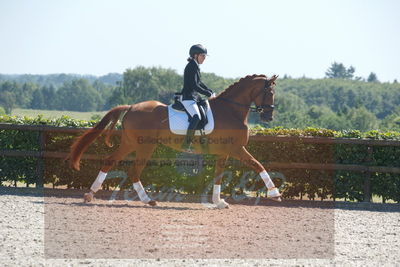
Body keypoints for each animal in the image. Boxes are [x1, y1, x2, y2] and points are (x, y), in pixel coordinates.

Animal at [69, 74, 282, 208]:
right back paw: (146, 200)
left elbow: (218, 175)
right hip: (145, 146)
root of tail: (131, 107)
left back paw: (93, 194)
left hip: (131, 143)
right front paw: (275, 194)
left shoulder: (224, 152)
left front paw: (218, 201)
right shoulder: (237, 148)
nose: (268, 117)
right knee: (133, 170)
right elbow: (258, 164)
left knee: (112, 161)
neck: (231, 110)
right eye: (270, 93)